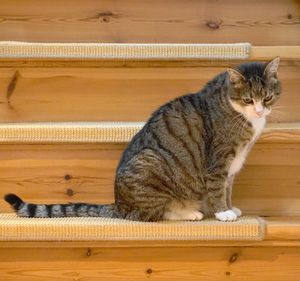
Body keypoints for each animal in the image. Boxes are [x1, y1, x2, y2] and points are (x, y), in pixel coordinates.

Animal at [4, 58, 282, 222]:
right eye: (248, 100)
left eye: (267, 97)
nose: (260, 111)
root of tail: (119, 204)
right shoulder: (219, 161)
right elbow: (217, 189)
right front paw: (223, 212)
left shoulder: (232, 166)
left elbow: (228, 188)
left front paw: (231, 207)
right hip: (151, 163)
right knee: (154, 214)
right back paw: (189, 212)